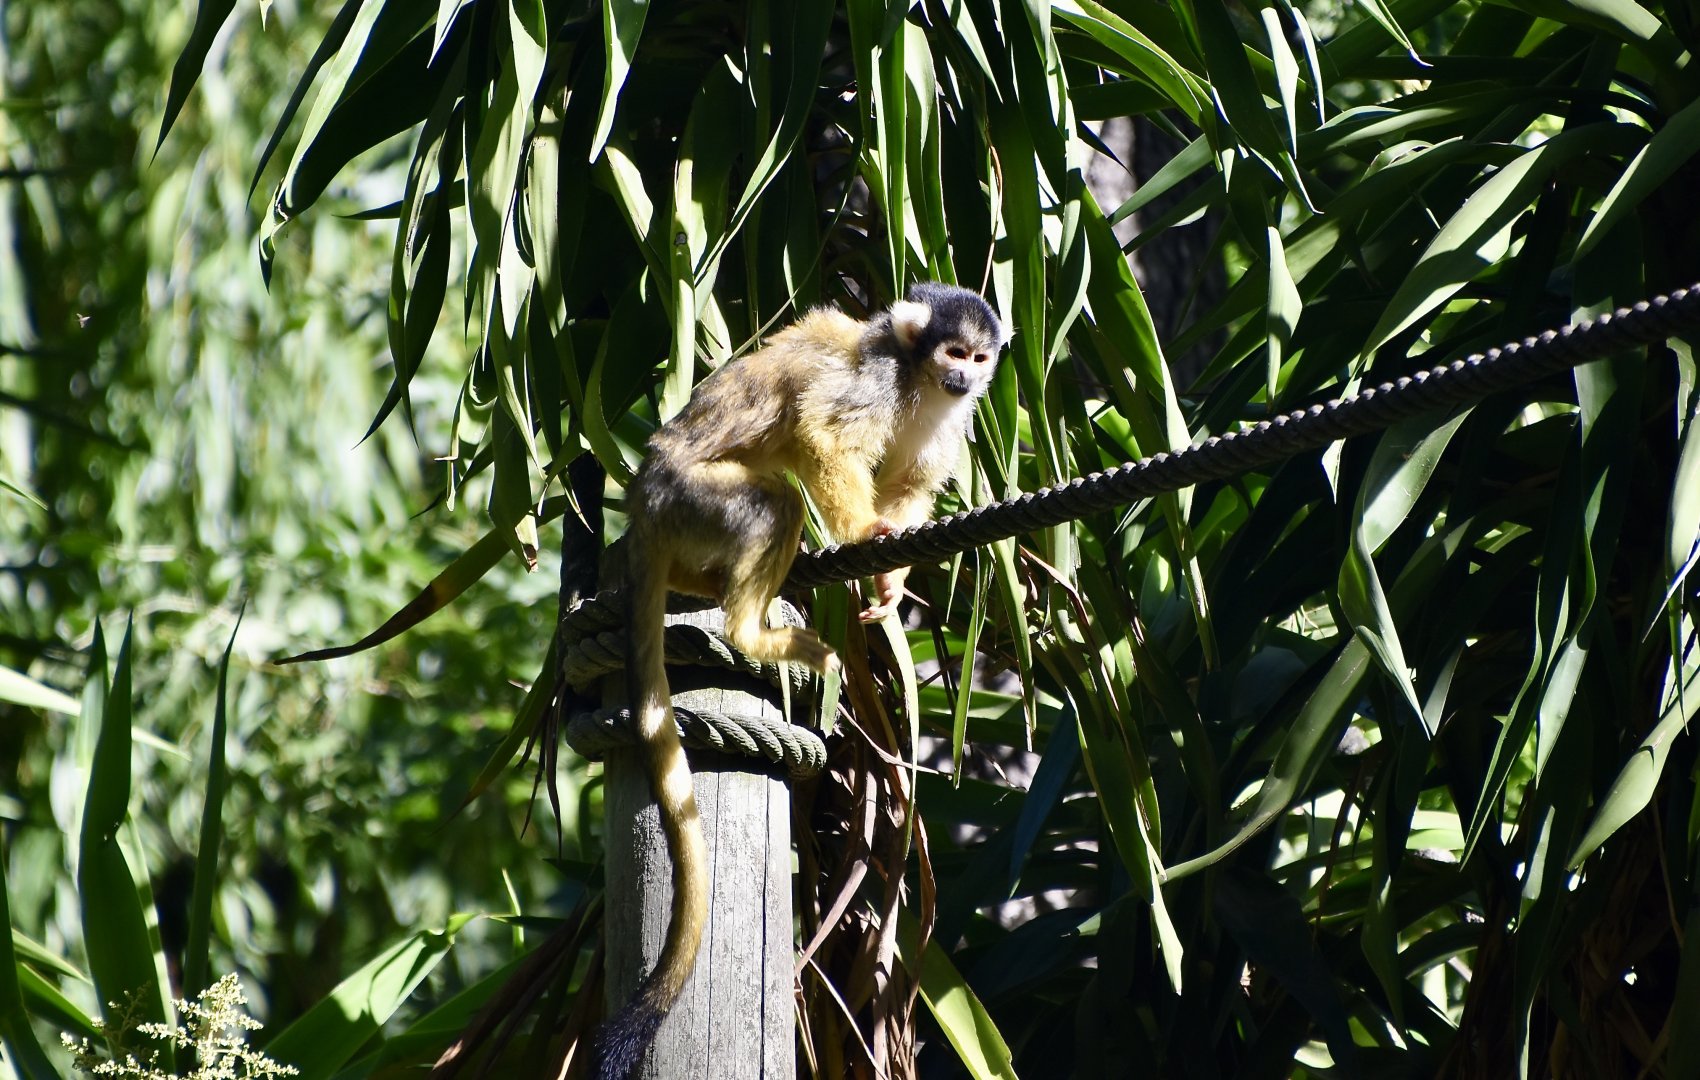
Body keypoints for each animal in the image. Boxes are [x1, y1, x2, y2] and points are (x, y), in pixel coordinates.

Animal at [596, 283, 1005, 1080]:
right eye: (953, 351)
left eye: (978, 358)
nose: (964, 377)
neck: (918, 377)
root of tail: (642, 500)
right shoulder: (879, 376)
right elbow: (824, 435)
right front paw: (865, 535)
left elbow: (908, 479)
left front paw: (889, 578)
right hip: (689, 495)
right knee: (775, 501)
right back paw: (752, 632)